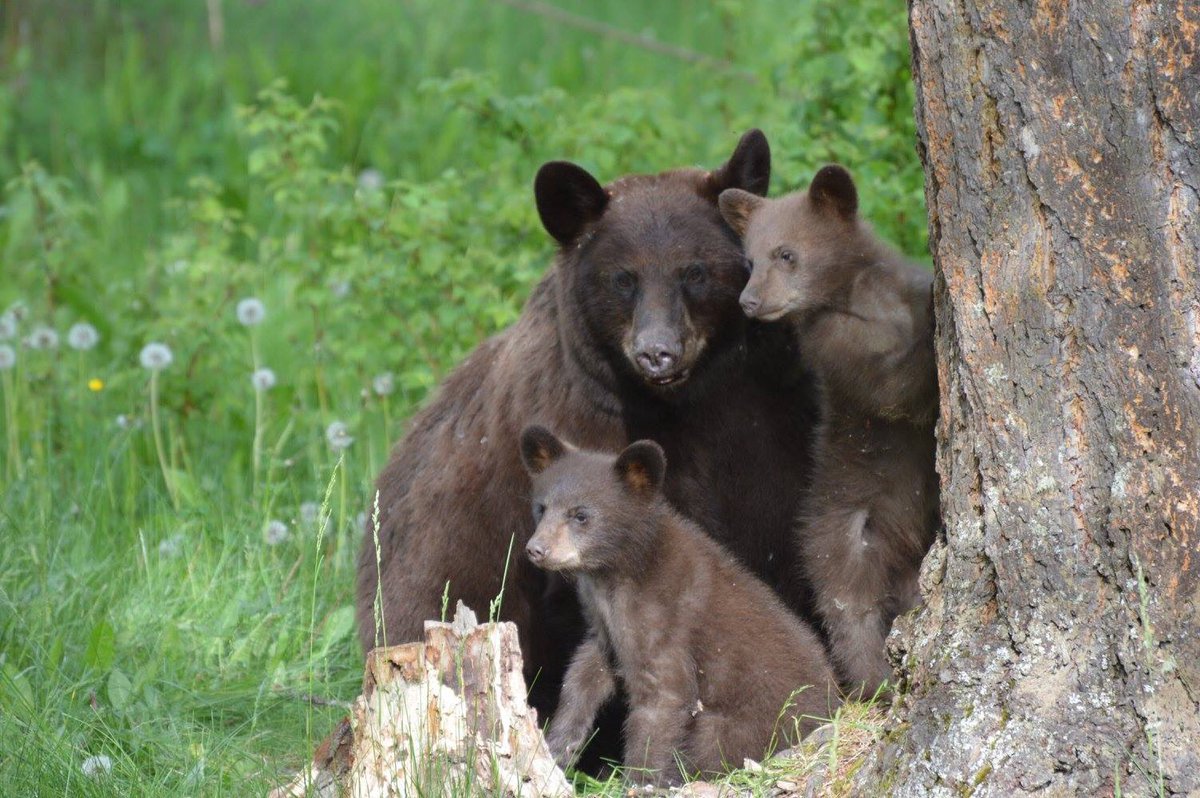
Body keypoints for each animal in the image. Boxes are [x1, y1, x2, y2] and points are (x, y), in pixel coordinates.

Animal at [356, 130, 820, 722]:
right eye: (623, 278)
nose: (657, 353)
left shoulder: (768, 426)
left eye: (694, 271)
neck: (681, 407)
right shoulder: (576, 444)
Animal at [519, 425, 838, 785]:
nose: (536, 549)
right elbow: (584, 674)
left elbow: (662, 698)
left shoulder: (666, 621)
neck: (616, 574)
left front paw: (638, 779)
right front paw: (558, 747)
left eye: (581, 514)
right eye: (542, 507)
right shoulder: (603, 625)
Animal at [719, 164, 939, 696]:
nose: (749, 301)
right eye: (749, 260)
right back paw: (875, 682)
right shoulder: (836, 347)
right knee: (849, 613)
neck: (858, 298)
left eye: (786, 253)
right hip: (841, 537)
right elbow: (894, 389)